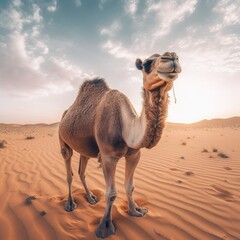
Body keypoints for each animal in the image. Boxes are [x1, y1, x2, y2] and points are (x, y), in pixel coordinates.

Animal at [58, 51, 182, 238]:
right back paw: (71, 204)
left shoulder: (134, 154)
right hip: (63, 140)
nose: (172, 57)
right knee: (69, 172)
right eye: (146, 64)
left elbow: (130, 186)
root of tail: (65, 114)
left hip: (85, 149)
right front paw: (105, 227)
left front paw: (136, 211)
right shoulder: (108, 157)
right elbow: (111, 193)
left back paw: (91, 198)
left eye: (178, 58)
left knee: (81, 171)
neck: (125, 125)